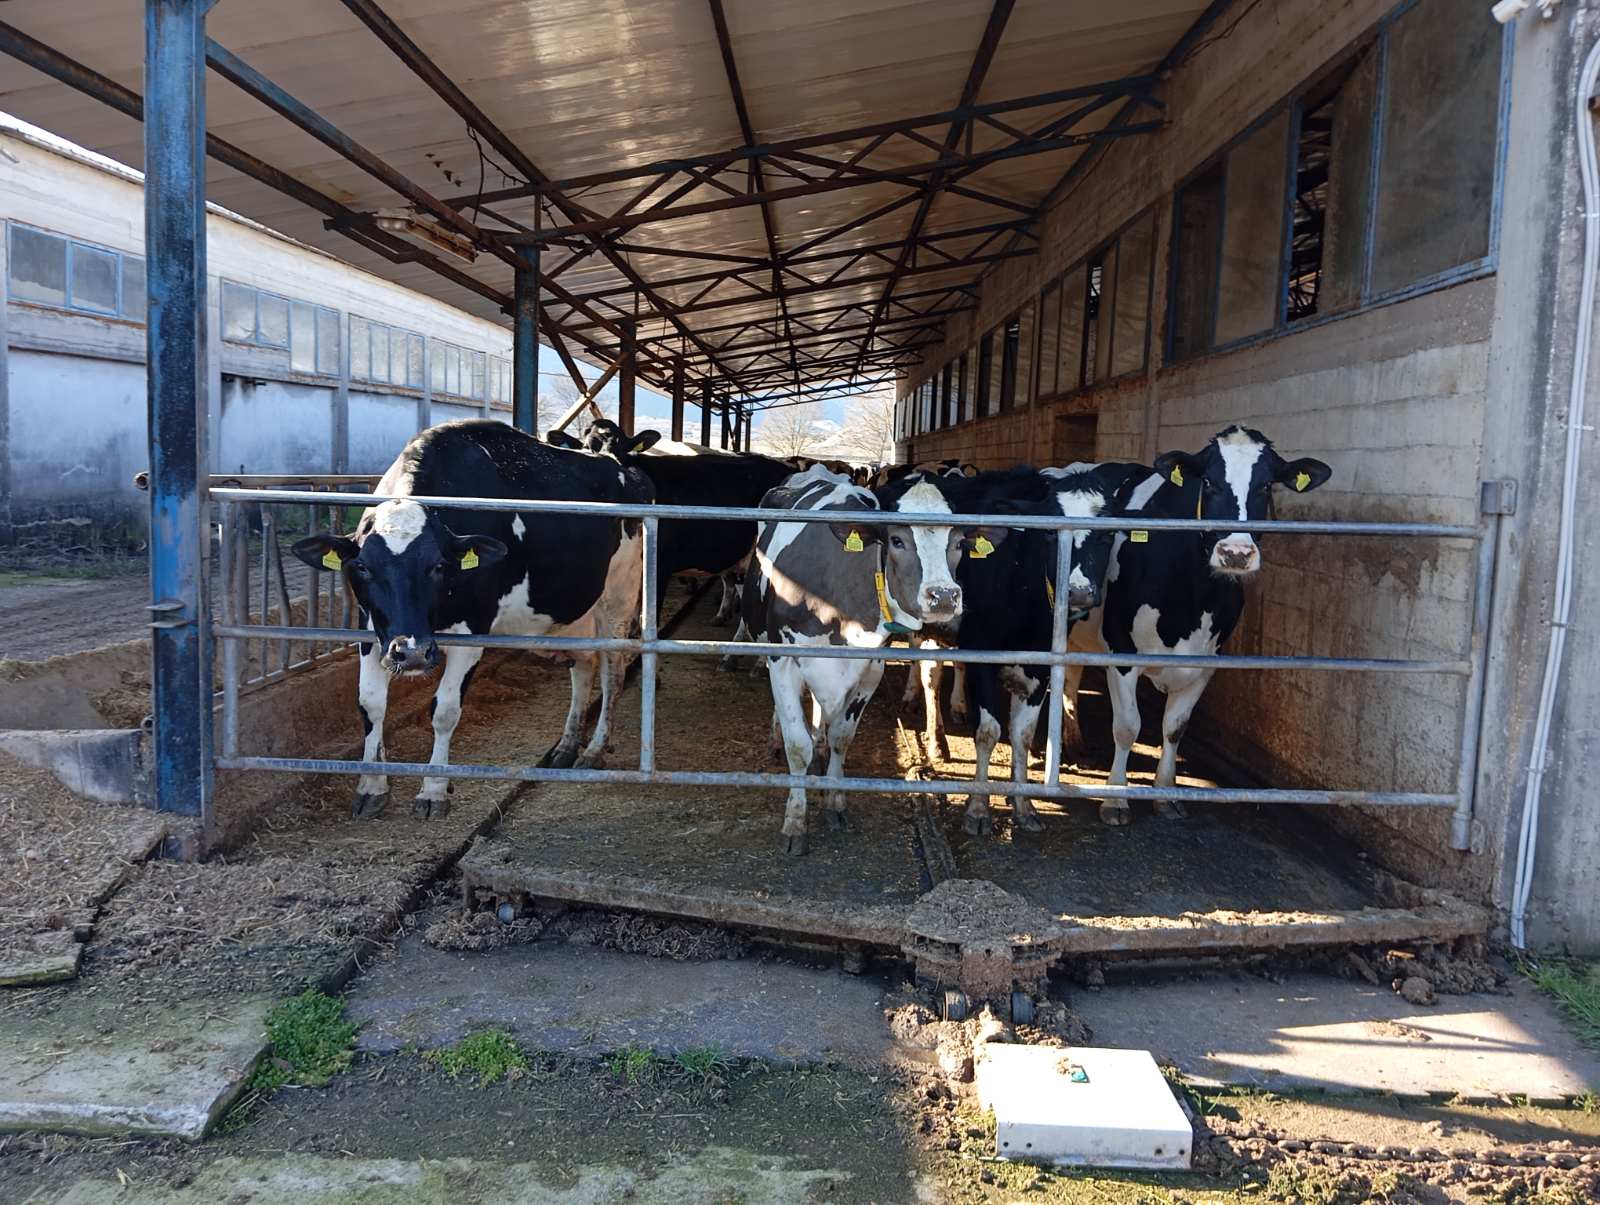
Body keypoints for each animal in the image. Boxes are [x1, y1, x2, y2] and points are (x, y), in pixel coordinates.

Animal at [291, 419, 652, 819]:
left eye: (438, 566)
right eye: (362, 567)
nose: (411, 653)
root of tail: (619, 464)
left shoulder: (473, 631)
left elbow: (445, 710)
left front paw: (434, 790)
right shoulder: (373, 630)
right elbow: (370, 704)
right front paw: (371, 787)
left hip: (618, 598)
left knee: (613, 672)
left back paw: (593, 750)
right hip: (573, 610)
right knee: (584, 665)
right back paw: (567, 746)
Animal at [741, 465, 1004, 854]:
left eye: (958, 543)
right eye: (896, 540)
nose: (944, 596)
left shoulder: (869, 668)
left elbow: (842, 735)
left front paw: (835, 801)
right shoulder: (785, 658)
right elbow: (797, 745)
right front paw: (794, 824)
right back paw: (777, 738)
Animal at [952, 464, 1142, 836]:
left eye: (1107, 536)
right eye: (1051, 534)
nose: (1079, 592)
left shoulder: (1040, 663)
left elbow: (1022, 734)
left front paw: (1024, 805)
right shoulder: (979, 649)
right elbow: (988, 731)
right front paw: (978, 808)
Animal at [1068, 426, 1332, 825]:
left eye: (1266, 485)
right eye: (1208, 482)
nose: (1235, 553)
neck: (1192, 598)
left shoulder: (1206, 661)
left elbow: (1175, 728)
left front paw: (1166, 795)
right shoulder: (1121, 651)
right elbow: (1128, 726)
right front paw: (1116, 800)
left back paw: (1072, 739)